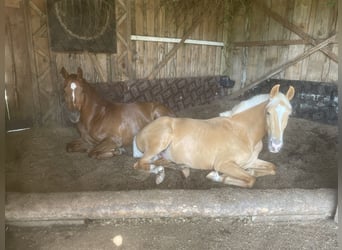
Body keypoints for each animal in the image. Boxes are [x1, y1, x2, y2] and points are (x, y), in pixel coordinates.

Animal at [132, 84, 296, 188]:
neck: (243, 132)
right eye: (268, 112)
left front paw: (251, 171)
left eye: (289, 114)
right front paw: (217, 177)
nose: (275, 146)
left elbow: (271, 168)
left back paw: (179, 168)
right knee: (140, 164)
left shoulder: (250, 161)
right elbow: (251, 180)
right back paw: (159, 172)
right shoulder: (223, 164)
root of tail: (139, 133)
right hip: (160, 141)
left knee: (158, 161)